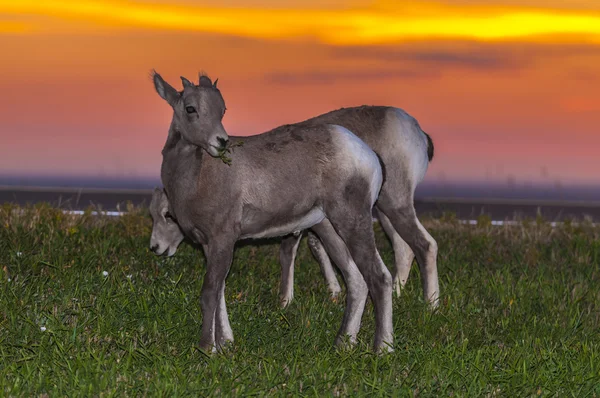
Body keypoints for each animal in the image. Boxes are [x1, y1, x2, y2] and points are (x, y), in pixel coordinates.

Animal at [150, 71, 394, 352]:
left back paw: (382, 349)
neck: (197, 178)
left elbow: (210, 293)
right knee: (356, 280)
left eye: (222, 110)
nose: (221, 142)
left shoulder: (223, 238)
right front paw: (226, 344)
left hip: (353, 221)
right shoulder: (210, 245)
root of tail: (368, 155)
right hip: (330, 229)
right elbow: (220, 290)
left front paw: (207, 348)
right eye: (191, 108)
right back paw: (342, 344)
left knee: (379, 277)